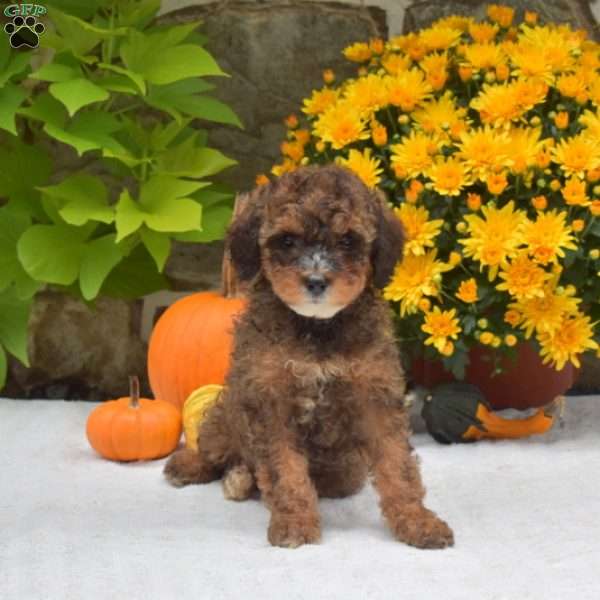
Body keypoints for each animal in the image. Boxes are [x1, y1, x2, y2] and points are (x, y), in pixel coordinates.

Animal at [162, 164, 452, 548]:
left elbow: (397, 464)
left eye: (348, 241)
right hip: (225, 412)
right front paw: (295, 522)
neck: (318, 328)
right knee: (216, 449)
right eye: (287, 241)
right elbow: (285, 469)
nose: (316, 281)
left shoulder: (375, 395)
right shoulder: (270, 399)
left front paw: (417, 521)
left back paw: (244, 479)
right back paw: (198, 467)